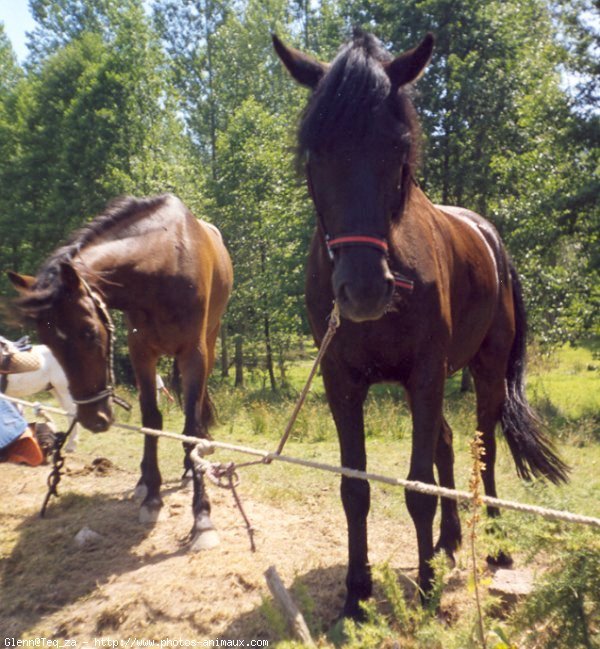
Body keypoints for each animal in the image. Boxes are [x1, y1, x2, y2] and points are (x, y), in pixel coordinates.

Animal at [8, 192, 232, 548]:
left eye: (88, 332)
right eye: (47, 340)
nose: (93, 419)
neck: (164, 262)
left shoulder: (193, 354)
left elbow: (191, 426)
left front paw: (202, 517)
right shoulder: (142, 353)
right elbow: (151, 421)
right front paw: (152, 496)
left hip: (209, 343)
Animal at [274, 31, 568, 616]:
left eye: (398, 147)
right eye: (316, 151)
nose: (364, 290)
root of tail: (491, 238)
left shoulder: (427, 374)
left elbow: (418, 486)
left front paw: (428, 593)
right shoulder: (342, 382)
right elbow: (356, 488)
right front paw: (357, 595)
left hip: (485, 371)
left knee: (484, 449)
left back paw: (493, 543)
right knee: (450, 444)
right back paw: (449, 540)